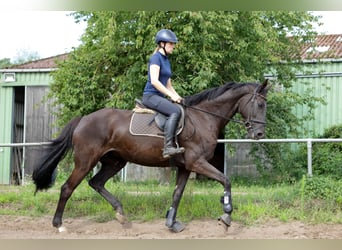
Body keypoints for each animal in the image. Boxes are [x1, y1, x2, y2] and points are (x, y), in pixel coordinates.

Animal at [33, 79, 272, 232]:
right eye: (260, 104)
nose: (259, 134)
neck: (204, 118)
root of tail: (83, 119)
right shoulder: (197, 162)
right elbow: (226, 181)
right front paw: (227, 216)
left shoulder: (186, 166)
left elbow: (177, 194)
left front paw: (171, 224)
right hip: (85, 161)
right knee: (67, 188)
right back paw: (59, 225)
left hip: (115, 161)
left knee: (96, 183)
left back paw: (121, 215)